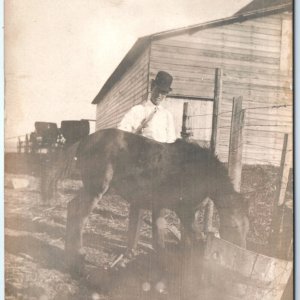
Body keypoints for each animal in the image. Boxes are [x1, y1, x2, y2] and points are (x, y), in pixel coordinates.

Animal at [44, 128, 248, 272]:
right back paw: (78, 260)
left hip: (92, 189)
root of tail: (85, 140)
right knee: (79, 215)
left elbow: (161, 238)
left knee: (72, 207)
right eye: (234, 226)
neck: (200, 170)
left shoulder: (163, 207)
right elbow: (197, 240)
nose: (240, 252)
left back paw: (70, 258)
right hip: (97, 189)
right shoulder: (186, 211)